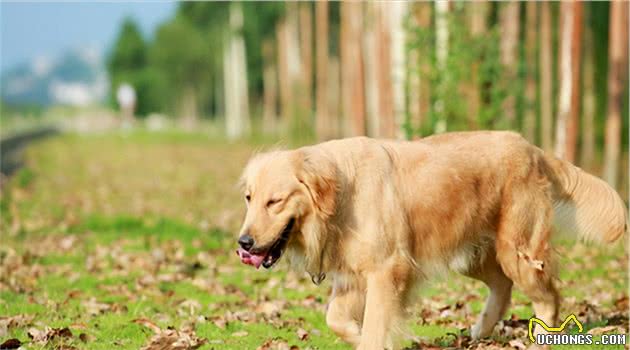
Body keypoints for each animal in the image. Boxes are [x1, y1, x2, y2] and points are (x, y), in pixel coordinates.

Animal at [236, 131, 628, 350]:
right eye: (249, 198)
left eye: (275, 201)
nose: (244, 243)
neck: (342, 195)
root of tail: (532, 148)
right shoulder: (353, 276)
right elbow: (335, 318)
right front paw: (358, 335)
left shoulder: (386, 271)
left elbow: (375, 325)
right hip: (471, 254)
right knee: (501, 286)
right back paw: (480, 330)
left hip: (517, 250)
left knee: (548, 295)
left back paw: (541, 339)